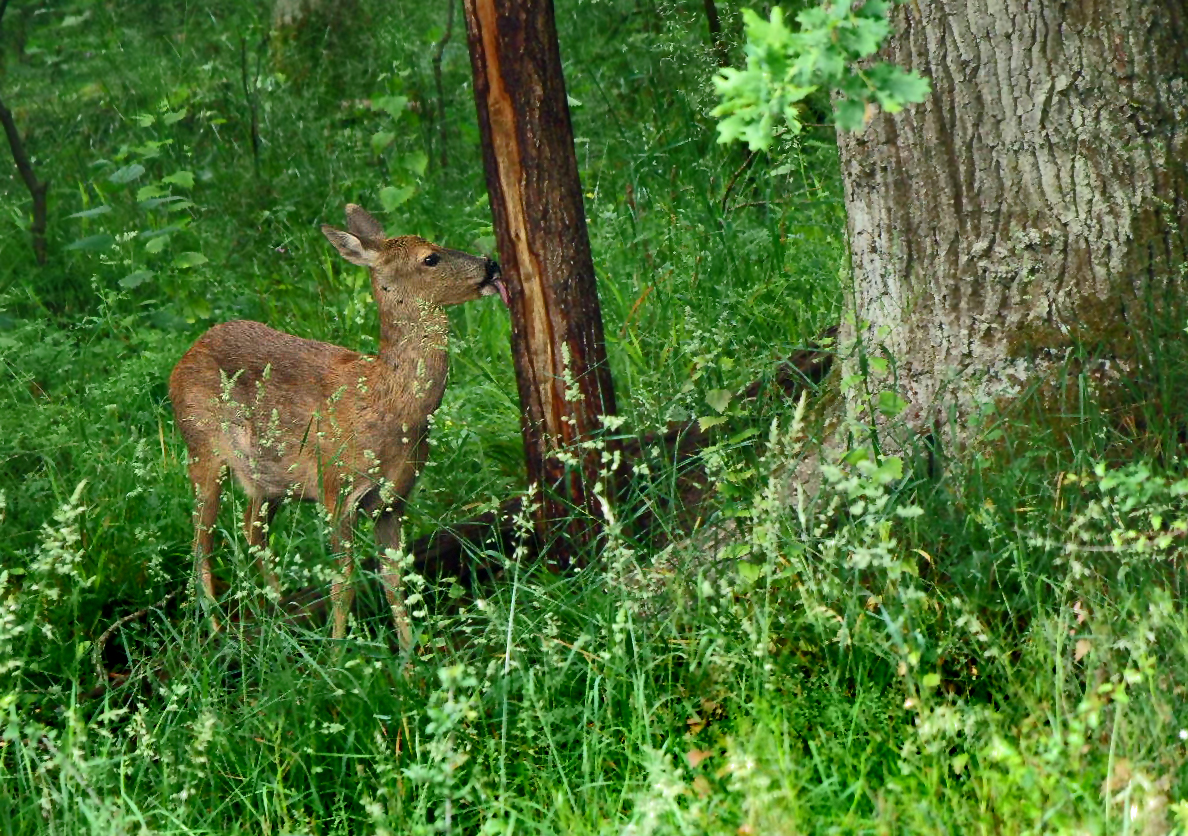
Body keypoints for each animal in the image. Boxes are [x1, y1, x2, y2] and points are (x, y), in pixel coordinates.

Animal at [168, 201, 506, 646]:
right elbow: (342, 583)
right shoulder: (336, 488)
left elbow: (395, 579)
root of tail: (184, 356)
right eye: (430, 258)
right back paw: (216, 629)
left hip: (269, 476)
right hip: (201, 447)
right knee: (200, 541)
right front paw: (338, 650)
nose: (492, 265)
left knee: (251, 529)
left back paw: (277, 609)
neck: (386, 405)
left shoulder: (392, 501)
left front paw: (412, 653)